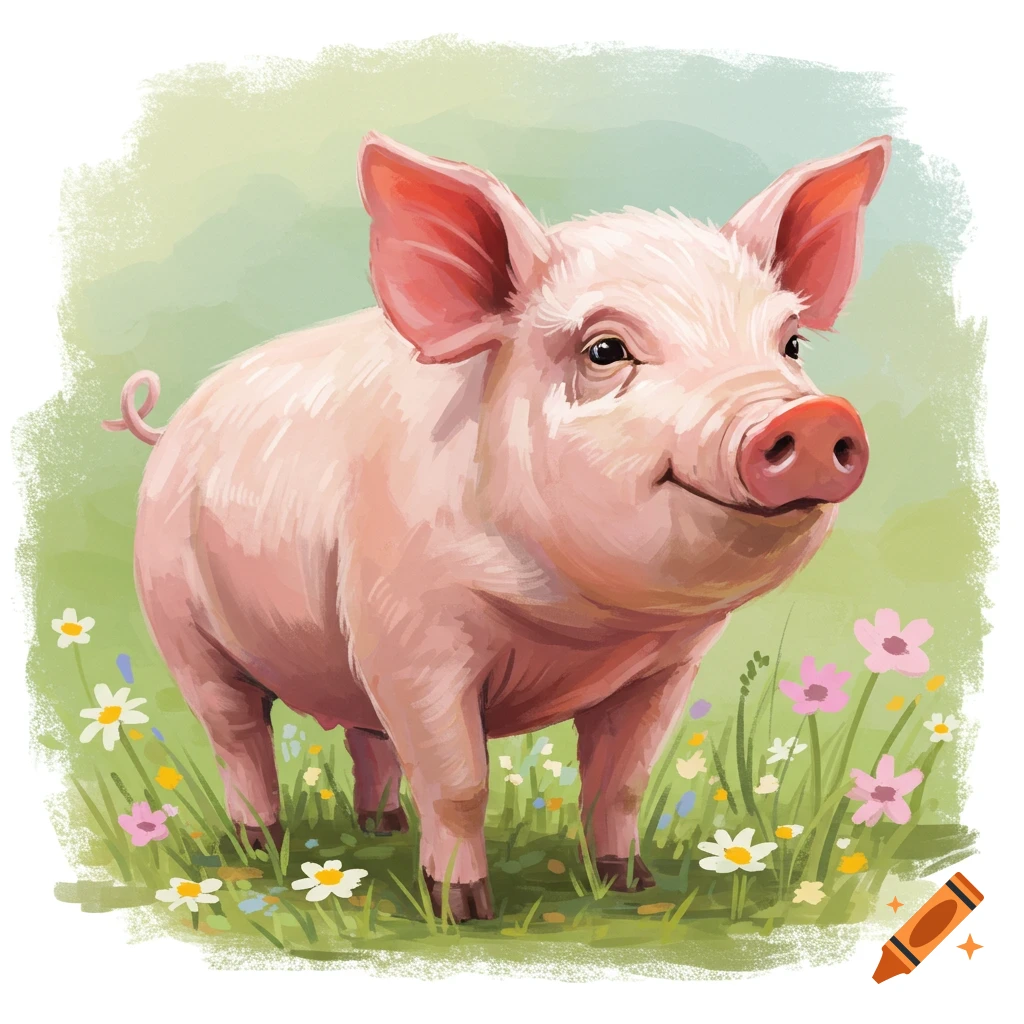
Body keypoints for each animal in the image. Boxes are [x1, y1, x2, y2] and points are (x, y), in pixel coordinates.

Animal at [103, 131, 889, 922]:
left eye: (791, 344)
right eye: (605, 350)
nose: (813, 418)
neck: (583, 627)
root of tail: (168, 427)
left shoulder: (668, 664)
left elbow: (622, 778)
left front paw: (628, 885)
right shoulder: (408, 633)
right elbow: (459, 781)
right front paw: (461, 913)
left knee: (366, 734)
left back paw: (381, 828)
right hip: (178, 619)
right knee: (237, 734)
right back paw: (261, 848)